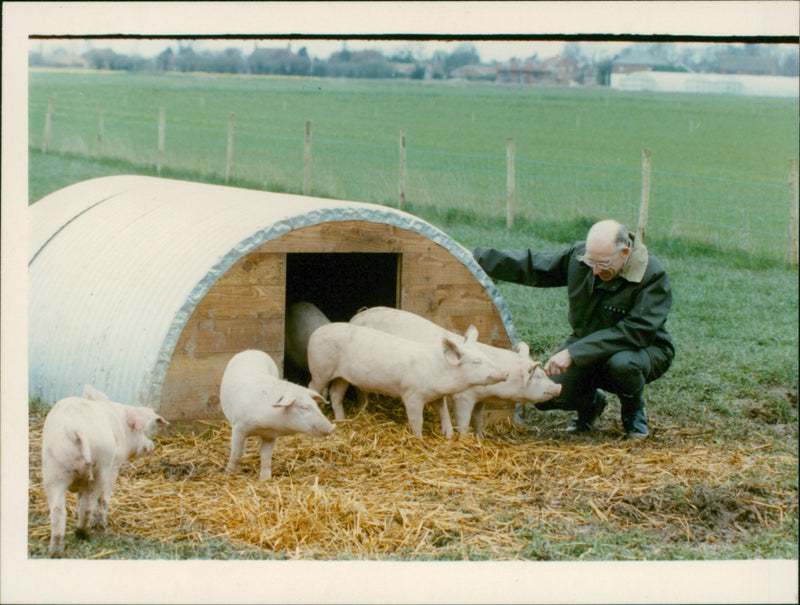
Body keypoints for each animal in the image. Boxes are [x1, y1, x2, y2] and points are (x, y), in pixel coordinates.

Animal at [41, 385, 168, 558]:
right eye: (141, 431)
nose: (151, 446)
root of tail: (77, 429)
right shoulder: (115, 464)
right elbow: (103, 499)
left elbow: (79, 500)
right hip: (101, 465)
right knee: (89, 504)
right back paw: (86, 533)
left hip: (53, 469)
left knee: (58, 510)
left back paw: (56, 552)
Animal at [220, 349, 334, 480]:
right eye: (304, 407)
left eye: (316, 405)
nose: (332, 428)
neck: (263, 426)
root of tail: (252, 350)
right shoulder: (238, 427)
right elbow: (236, 453)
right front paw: (228, 473)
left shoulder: (270, 436)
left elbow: (266, 457)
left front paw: (265, 479)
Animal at [307, 322, 508, 438]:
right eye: (476, 361)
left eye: (484, 356)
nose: (505, 373)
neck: (439, 371)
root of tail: (315, 332)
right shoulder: (412, 394)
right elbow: (417, 420)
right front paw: (419, 439)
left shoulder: (437, 396)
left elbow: (444, 413)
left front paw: (448, 435)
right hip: (320, 369)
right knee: (313, 387)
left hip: (342, 376)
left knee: (335, 394)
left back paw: (342, 420)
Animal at [350, 307, 562, 437]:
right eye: (537, 375)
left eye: (544, 374)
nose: (559, 386)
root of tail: (355, 317)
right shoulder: (464, 396)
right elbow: (464, 419)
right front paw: (463, 436)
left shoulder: (481, 399)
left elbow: (478, 419)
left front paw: (481, 436)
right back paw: (363, 409)